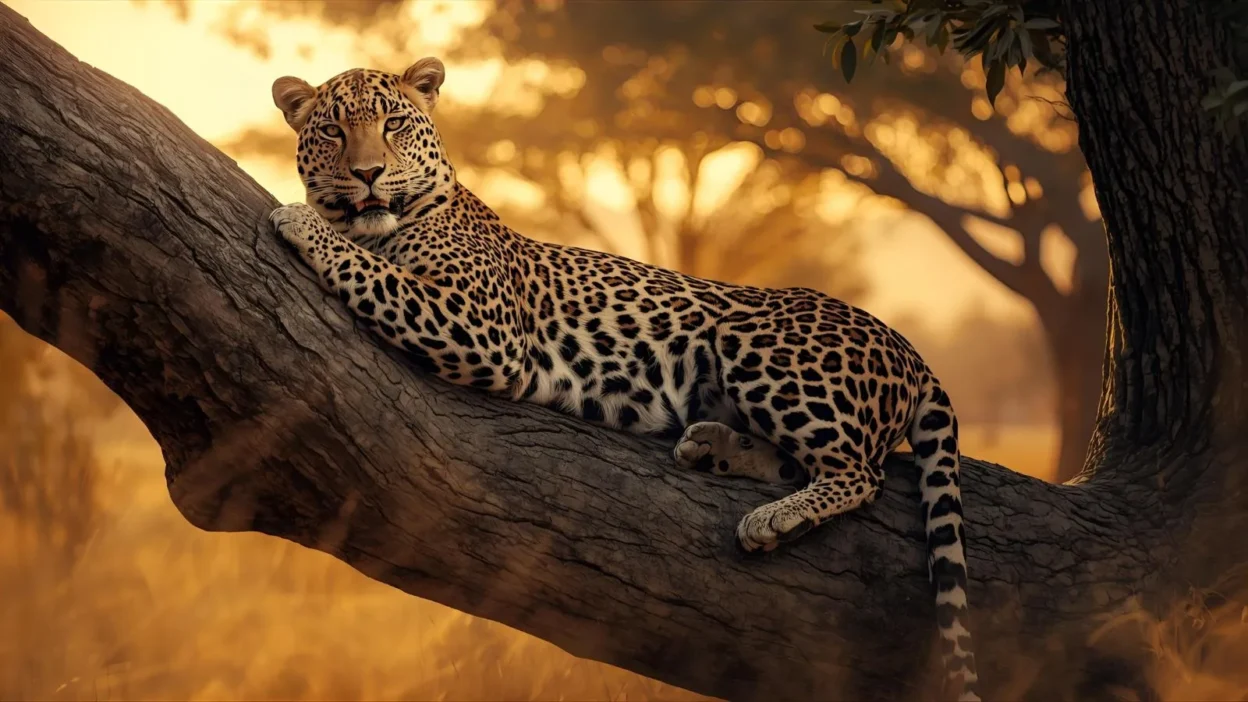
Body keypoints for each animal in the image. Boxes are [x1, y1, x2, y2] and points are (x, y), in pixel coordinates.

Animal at [268, 58, 979, 701]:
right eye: (332, 130)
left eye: (392, 124)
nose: (367, 173)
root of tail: (910, 350)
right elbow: (371, 260)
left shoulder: (481, 325)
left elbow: (372, 269)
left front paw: (300, 219)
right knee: (813, 462)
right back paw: (712, 449)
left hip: (751, 334)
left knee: (862, 471)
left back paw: (773, 518)